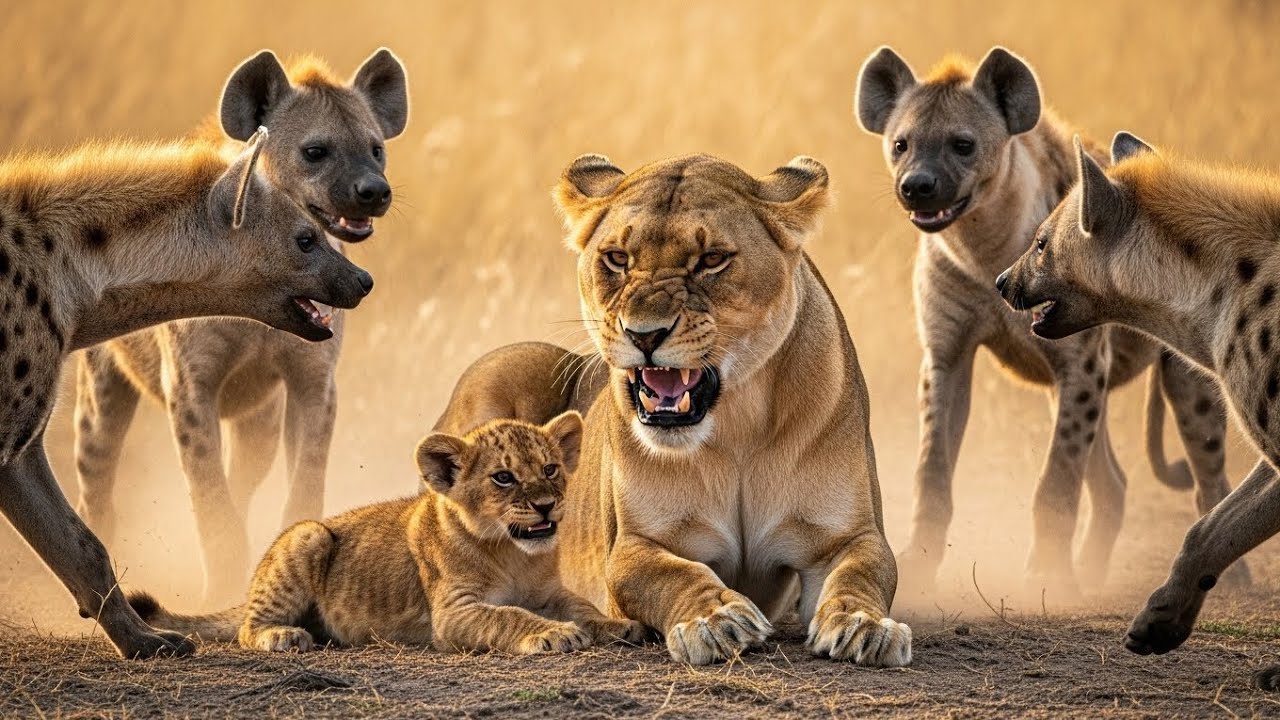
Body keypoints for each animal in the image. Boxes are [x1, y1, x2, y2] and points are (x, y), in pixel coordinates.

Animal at [127, 412, 644, 654]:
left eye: (551, 469)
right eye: (503, 478)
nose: (545, 505)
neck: (514, 553)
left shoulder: (550, 591)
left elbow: (582, 607)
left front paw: (618, 625)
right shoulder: (454, 613)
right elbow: (510, 616)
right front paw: (554, 634)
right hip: (307, 535)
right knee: (245, 628)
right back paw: (284, 636)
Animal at [437, 153, 912, 666]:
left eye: (712, 260)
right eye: (617, 258)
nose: (643, 334)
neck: (736, 427)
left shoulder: (846, 537)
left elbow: (861, 575)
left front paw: (866, 626)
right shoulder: (634, 545)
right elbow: (673, 575)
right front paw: (715, 620)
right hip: (500, 368)